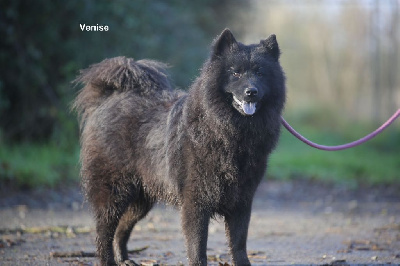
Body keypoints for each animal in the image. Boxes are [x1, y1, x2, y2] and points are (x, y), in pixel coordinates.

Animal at [72, 28, 284, 264]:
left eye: (260, 73)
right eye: (235, 73)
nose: (251, 91)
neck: (226, 131)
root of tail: (108, 98)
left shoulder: (242, 201)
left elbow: (238, 244)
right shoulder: (196, 201)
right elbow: (197, 247)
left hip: (141, 199)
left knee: (121, 228)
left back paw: (124, 259)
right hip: (113, 191)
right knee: (103, 232)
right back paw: (109, 260)